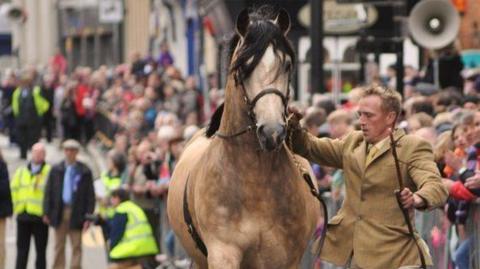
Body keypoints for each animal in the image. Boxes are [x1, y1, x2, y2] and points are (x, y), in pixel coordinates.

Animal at [167, 6, 324, 268]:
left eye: (287, 65)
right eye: (243, 68)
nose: (272, 132)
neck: (254, 182)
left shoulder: (283, 258)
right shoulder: (223, 252)